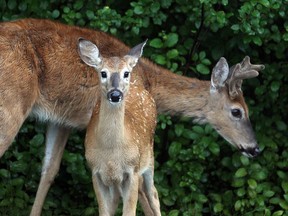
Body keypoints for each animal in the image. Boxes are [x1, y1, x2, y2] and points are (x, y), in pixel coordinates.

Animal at [0, 18, 266, 214]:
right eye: (237, 111)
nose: (254, 148)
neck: (148, 80)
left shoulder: (61, 120)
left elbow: (49, 170)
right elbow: (140, 196)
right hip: (11, 105)